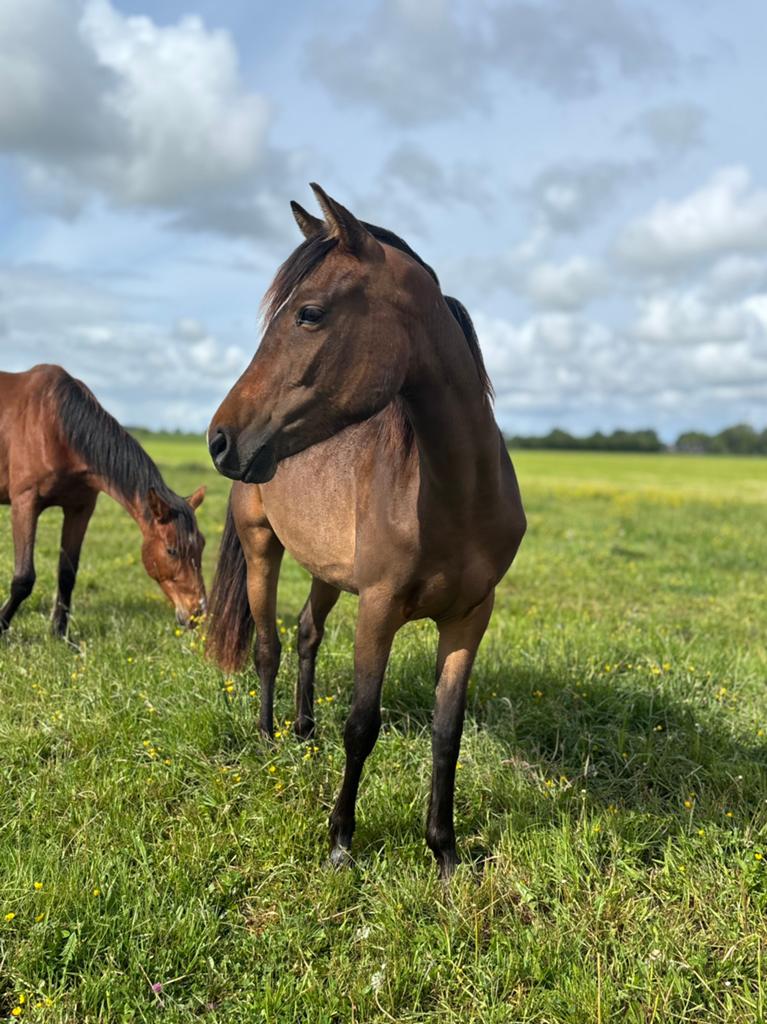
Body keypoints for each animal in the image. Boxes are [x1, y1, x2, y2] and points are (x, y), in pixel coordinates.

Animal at [0, 364, 207, 637]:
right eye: (171, 550)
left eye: (202, 546)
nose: (197, 613)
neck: (54, 426)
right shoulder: (25, 503)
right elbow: (23, 578)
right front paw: (1, 625)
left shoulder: (80, 509)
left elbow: (67, 574)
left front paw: (59, 633)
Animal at [205, 185, 526, 877]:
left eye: (309, 313)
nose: (219, 439)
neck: (454, 495)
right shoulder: (378, 609)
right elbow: (362, 725)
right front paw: (340, 843)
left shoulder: (471, 616)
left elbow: (446, 730)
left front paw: (444, 851)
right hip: (262, 548)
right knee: (268, 644)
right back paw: (269, 737)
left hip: (328, 572)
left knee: (305, 632)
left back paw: (303, 732)